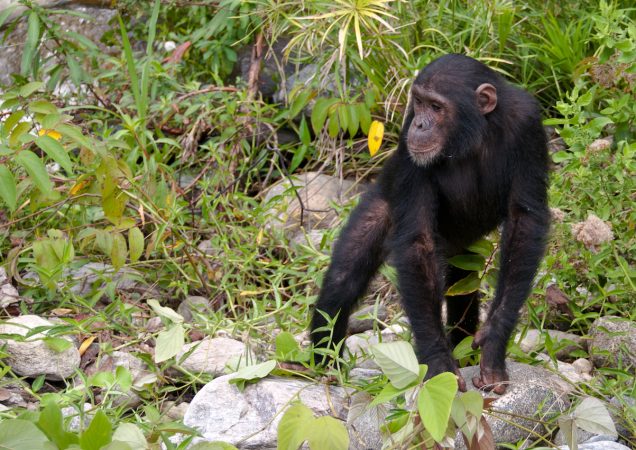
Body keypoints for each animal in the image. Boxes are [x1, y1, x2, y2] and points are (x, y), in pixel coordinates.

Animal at [310, 54, 548, 394]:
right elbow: (417, 242)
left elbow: (524, 221)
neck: (474, 133)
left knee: (462, 289)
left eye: (436, 107)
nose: (421, 124)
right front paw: (438, 361)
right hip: (383, 203)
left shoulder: (528, 126)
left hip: (463, 250)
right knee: (343, 280)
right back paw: (323, 363)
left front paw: (493, 343)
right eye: (420, 103)